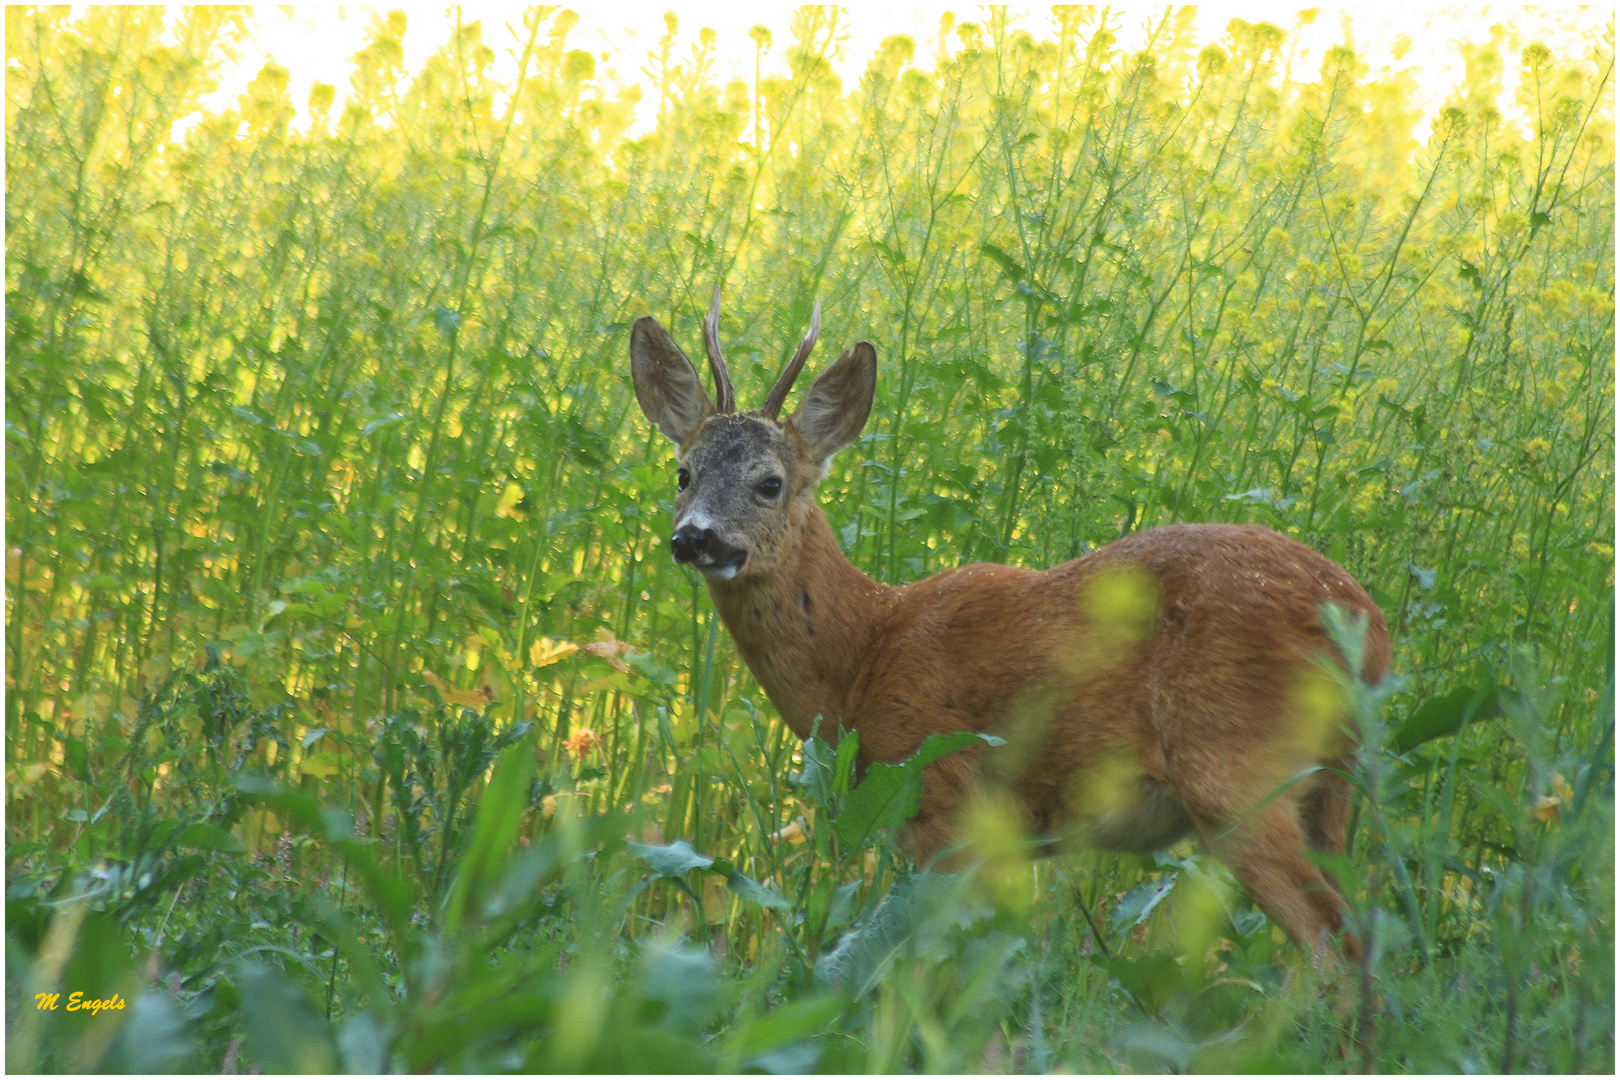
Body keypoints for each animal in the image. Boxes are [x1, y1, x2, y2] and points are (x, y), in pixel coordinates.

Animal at [625, 291, 1386, 958]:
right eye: (682, 473)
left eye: (770, 483)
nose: (695, 538)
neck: (863, 656)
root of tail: (1366, 623)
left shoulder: (943, 796)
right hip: (1328, 786)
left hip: (1236, 769)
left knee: (1336, 940)